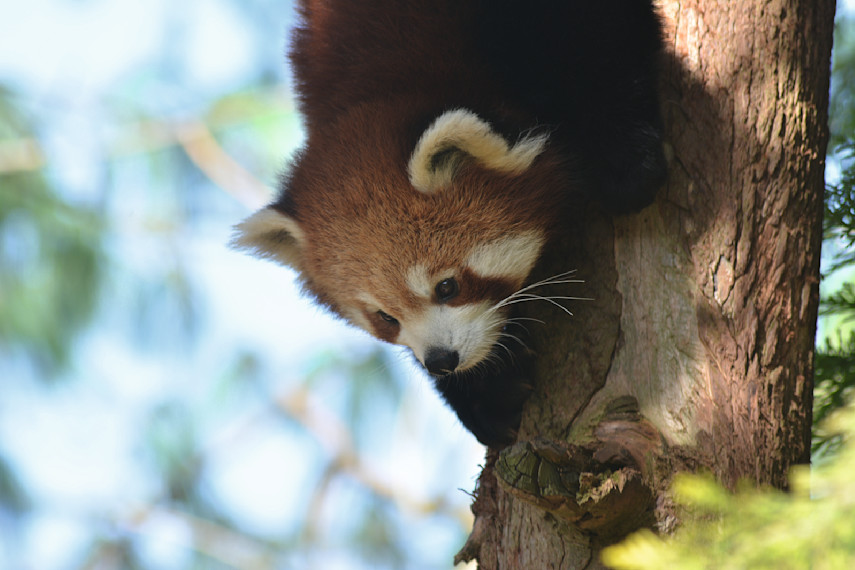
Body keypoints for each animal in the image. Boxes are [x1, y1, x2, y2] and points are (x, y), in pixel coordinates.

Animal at [234, 0, 668, 446]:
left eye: (447, 287)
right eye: (385, 318)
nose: (441, 360)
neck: (387, 79)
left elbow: (597, 45)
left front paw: (626, 164)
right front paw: (489, 395)